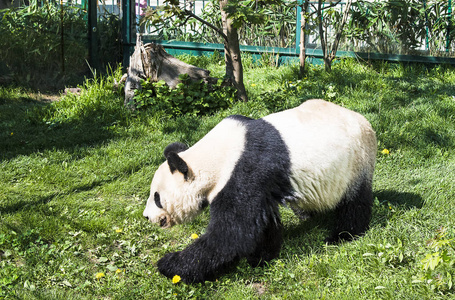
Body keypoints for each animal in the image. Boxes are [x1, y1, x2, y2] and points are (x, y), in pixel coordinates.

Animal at [142, 99, 378, 284]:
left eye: (157, 198)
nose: (146, 216)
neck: (211, 157)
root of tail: (366, 122)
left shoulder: (245, 169)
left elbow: (232, 233)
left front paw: (169, 264)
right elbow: (260, 222)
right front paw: (263, 256)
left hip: (357, 162)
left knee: (354, 204)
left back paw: (342, 235)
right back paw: (309, 215)